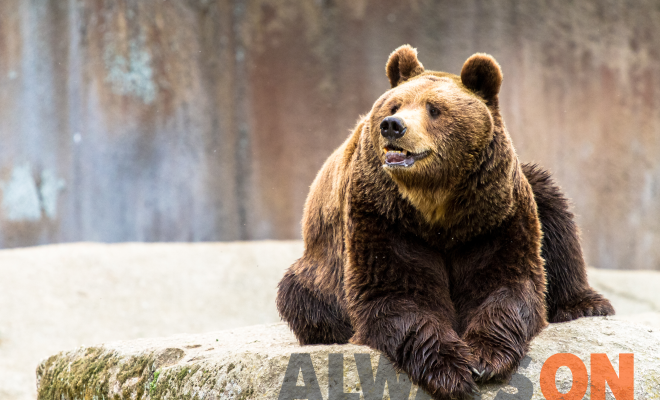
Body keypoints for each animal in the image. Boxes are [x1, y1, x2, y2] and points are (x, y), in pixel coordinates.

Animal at [276, 45, 614, 399]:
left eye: (434, 109)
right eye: (394, 105)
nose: (392, 125)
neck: (437, 206)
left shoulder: (494, 218)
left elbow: (505, 286)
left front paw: (485, 358)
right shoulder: (384, 219)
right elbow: (398, 294)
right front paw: (451, 371)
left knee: (555, 214)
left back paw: (585, 304)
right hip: (319, 275)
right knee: (305, 302)